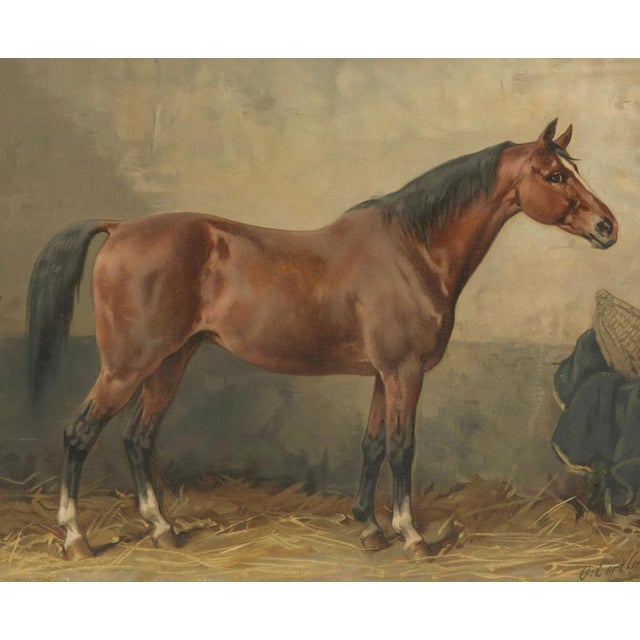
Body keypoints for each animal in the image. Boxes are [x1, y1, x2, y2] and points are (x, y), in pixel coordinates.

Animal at [26, 119, 618, 561]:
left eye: (571, 171)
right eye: (555, 175)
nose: (608, 227)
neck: (413, 250)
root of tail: (120, 227)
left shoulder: (383, 374)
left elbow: (373, 444)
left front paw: (370, 528)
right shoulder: (404, 372)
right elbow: (402, 448)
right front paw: (411, 535)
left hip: (170, 362)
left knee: (138, 438)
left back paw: (163, 530)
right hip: (126, 367)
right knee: (80, 434)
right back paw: (76, 538)